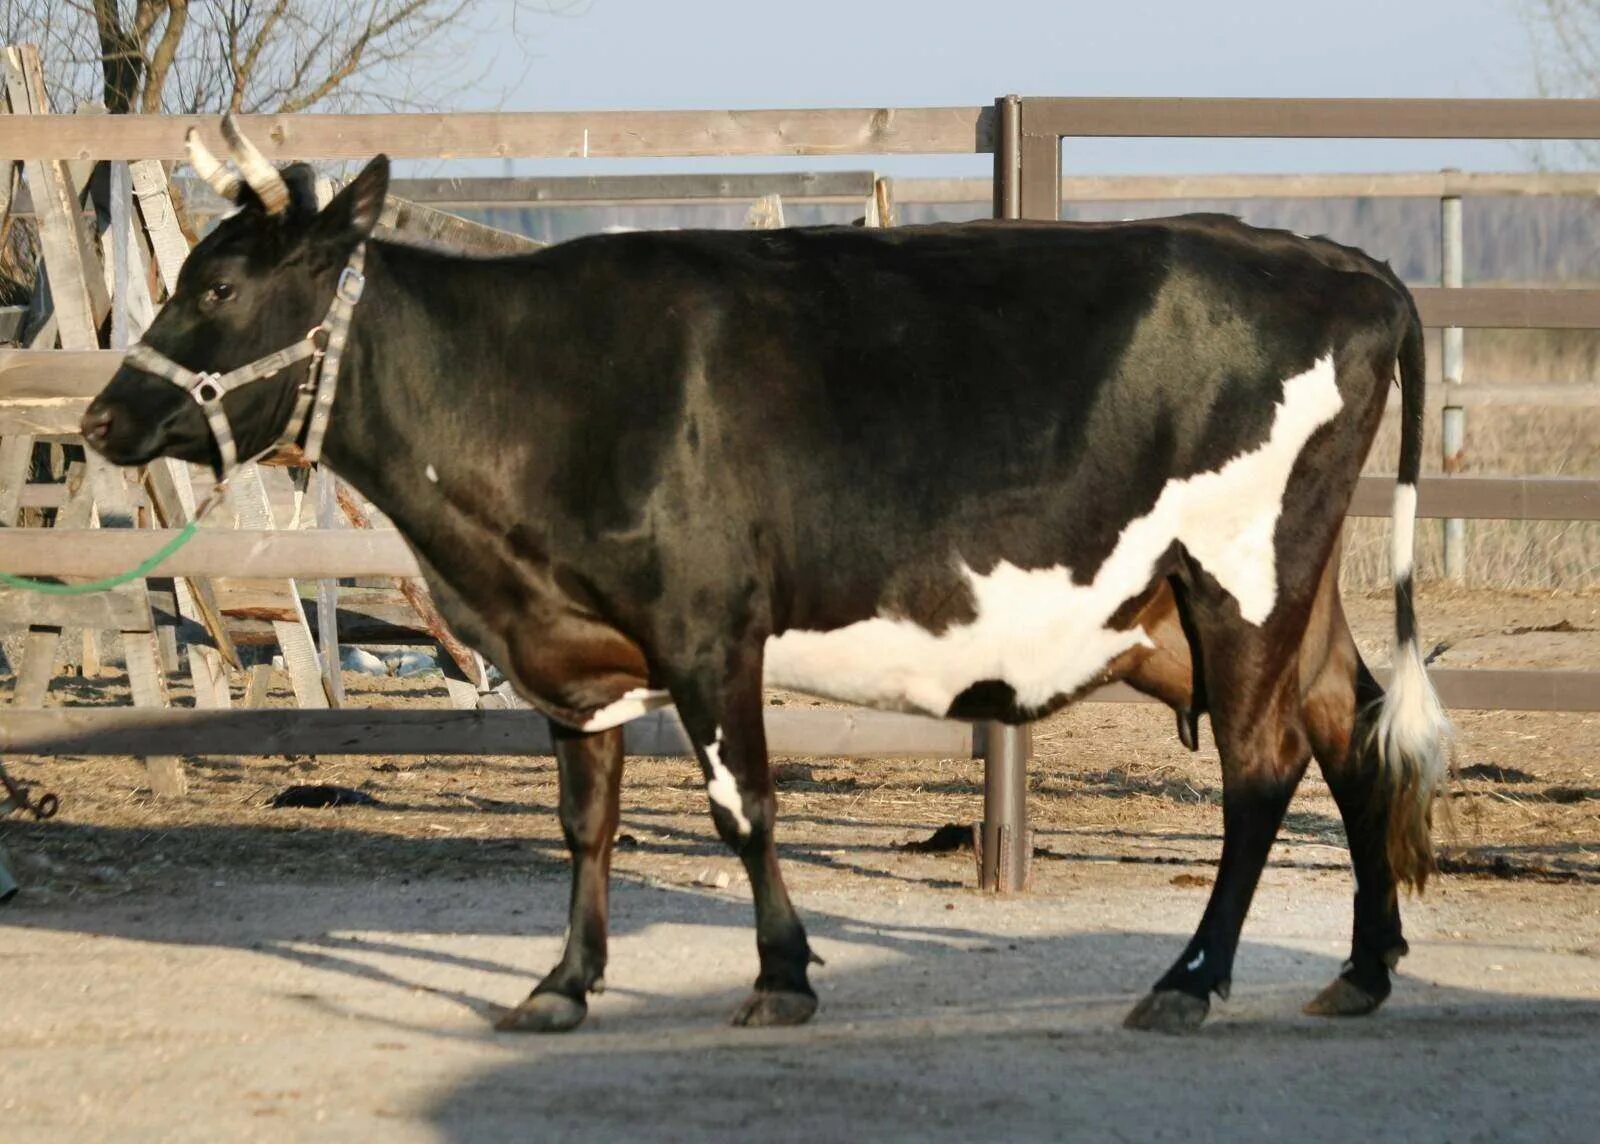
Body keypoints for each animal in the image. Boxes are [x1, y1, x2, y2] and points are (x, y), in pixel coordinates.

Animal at [81, 123, 1452, 1036]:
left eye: (219, 285)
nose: (99, 418)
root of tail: (1336, 257)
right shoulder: (573, 650)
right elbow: (586, 819)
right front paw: (560, 983)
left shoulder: (707, 626)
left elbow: (743, 807)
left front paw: (781, 976)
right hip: (1277, 585)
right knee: (1347, 725)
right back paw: (1364, 969)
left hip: (1240, 571)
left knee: (1263, 762)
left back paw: (1189, 982)